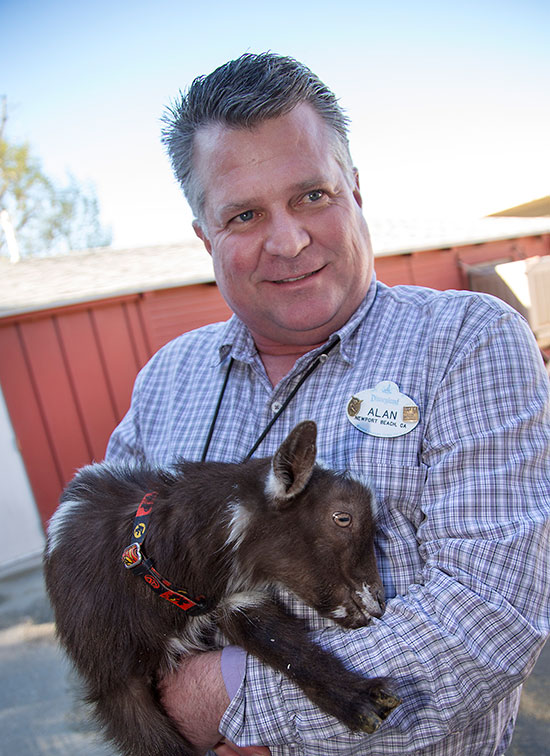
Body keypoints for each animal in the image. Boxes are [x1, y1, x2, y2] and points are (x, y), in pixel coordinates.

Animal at [44, 420, 400, 756]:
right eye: (343, 517)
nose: (378, 602)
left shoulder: (235, 599)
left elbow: (276, 641)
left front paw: (362, 699)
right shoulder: (114, 679)